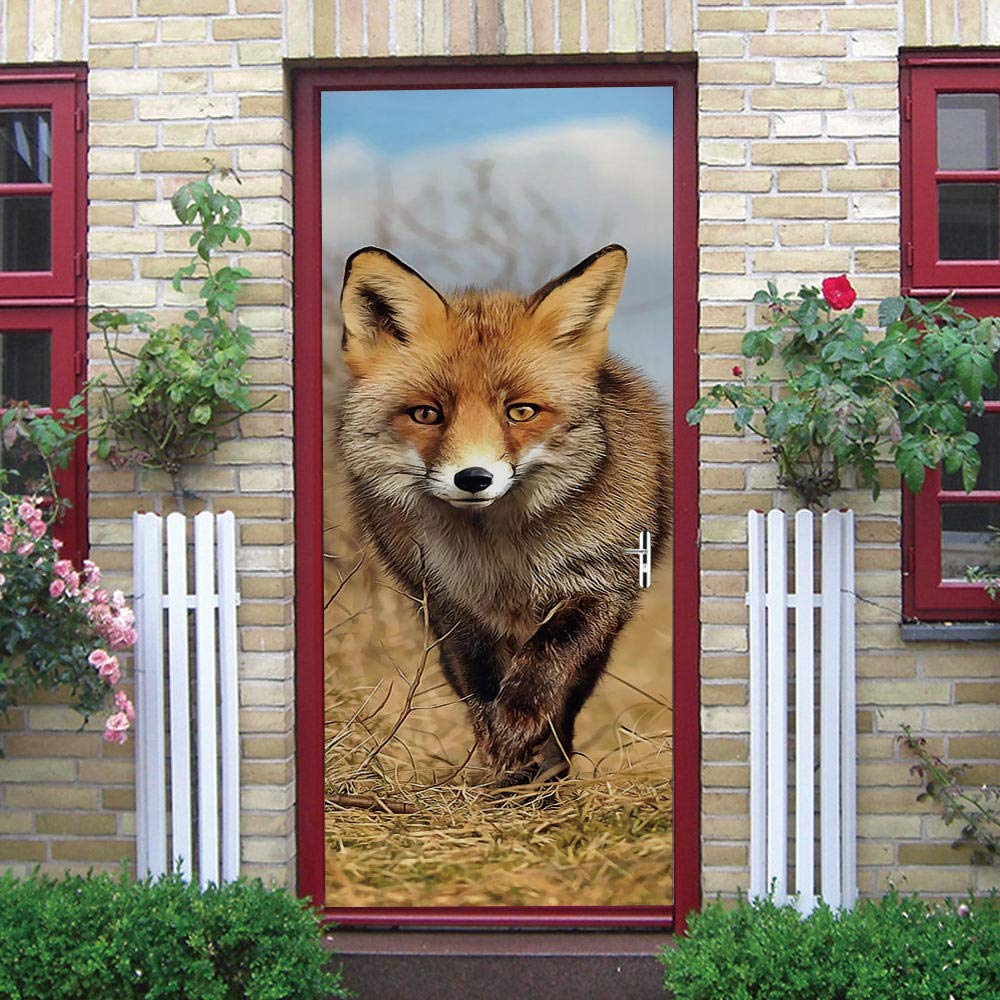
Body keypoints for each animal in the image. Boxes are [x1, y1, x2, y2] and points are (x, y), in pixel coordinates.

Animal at [336, 244, 672, 786]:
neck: (502, 558)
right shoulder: (451, 604)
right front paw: (502, 751)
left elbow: (549, 658)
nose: (473, 478)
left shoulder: (600, 584)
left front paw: (521, 724)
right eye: (427, 414)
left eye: (521, 411)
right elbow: (481, 682)